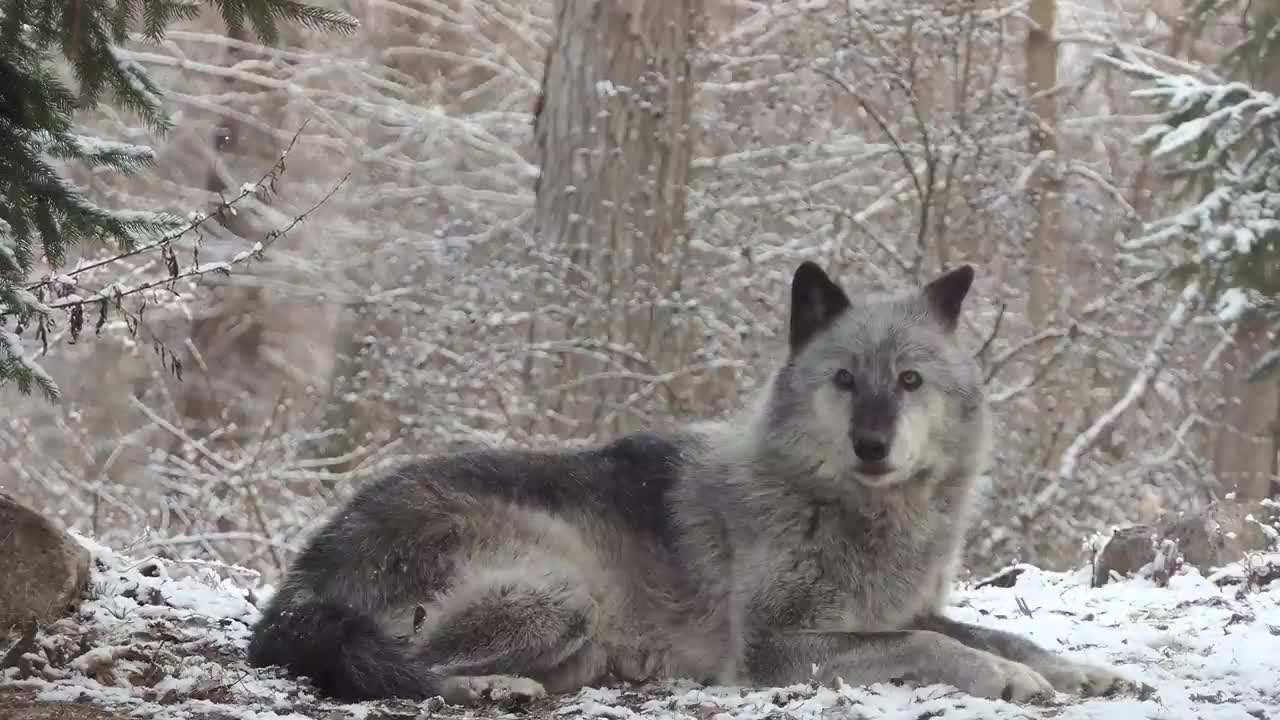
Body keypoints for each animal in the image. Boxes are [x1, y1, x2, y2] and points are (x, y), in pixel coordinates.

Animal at [249, 260, 1131, 702]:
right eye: (846, 379)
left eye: (910, 381)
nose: (873, 444)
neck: (841, 509)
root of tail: (300, 581)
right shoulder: (777, 647)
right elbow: (933, 646)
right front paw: (1012, 681)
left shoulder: (900, 609)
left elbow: (994, 632)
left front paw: (1077, 669)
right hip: (560, 590)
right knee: (409, 670)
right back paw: (499, 688)